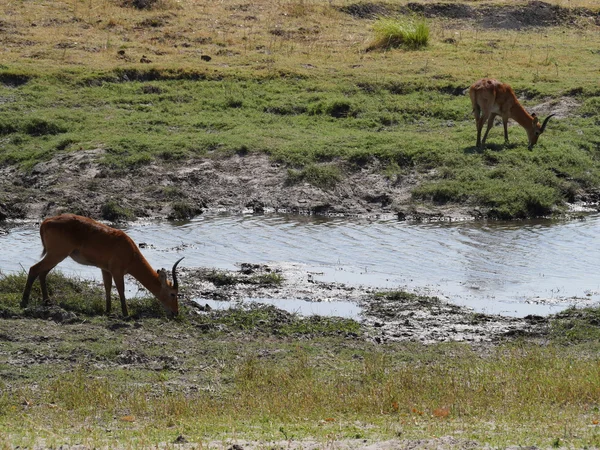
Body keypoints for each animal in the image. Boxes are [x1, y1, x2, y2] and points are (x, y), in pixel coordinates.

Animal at [21, 214, 184, 316]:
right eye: (173, 293)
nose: (176, 312)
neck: (130, 251)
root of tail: (46, 221)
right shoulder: (117, 271)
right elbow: (121, 290)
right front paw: (126, 314)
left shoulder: (105, 270)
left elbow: (107, 288)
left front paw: (108, 311)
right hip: (57, 254)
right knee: (34, 269)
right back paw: (24, 302)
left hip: (56, 255)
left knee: (42, 272)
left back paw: (47, 302)